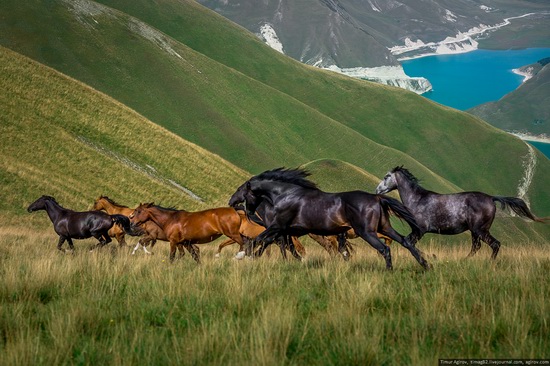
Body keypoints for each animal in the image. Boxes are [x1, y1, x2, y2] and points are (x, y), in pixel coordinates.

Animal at [229, 168, 432, 268]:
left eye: (241, 190)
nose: (232, 202)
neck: (285, 195)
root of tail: (377, 198)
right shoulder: (284, 230)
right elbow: (270, 242)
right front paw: (249, 256)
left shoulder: (278, 226)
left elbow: (259, 239)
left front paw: (240, 256)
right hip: (384, 228)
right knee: (406, 242)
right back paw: (425, 265)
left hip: (367, 232)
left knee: (385, 249)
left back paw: (389, 271)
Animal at [376, 166, 548, 258]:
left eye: (386, 176)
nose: (377, 190)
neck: (418, 200)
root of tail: (491, 198)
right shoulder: (417, 231)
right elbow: (406, 241)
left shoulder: (420, 230)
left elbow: (408, 242)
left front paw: (430, 257)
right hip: (475, 231)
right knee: (477, 247)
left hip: (480, 230)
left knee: (495, 244)